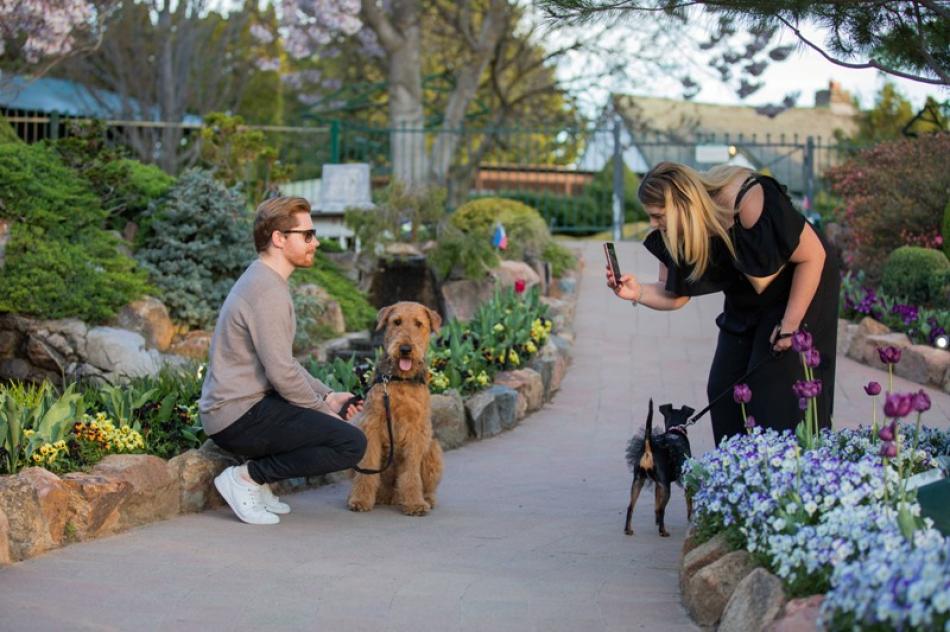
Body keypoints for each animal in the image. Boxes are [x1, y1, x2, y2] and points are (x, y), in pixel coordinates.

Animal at [348, 300, 444, 512]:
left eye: (418, 323)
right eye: (397, 321)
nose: (406, 349)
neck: (400, 378)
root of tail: (391, 496)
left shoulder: (416, 430)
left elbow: (411, 473)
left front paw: (415, 504)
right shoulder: (372, 425)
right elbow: (368, 468)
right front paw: (360, 500)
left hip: (433, 448)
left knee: (425, 486)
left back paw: (425, 499)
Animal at [628, 398, 696, 536]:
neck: (675, 430)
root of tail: (649, 446)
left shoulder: (658, 485)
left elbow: (656, 504)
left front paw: (657, 521)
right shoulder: (685, 479)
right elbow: (688, 502)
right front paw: (690, 518)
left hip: (638, 481)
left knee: (631, 507)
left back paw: (628, 530)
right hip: (666, 488)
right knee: (662, 509)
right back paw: (663, 531)